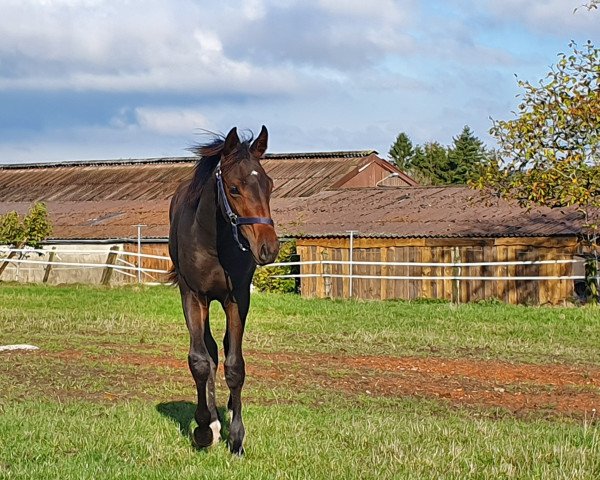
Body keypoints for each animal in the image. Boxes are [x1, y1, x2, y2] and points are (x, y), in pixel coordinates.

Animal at [168, 125, 280, 456]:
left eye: (269, 185)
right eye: (233, 188)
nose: (268, 248)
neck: (213, 240)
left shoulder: (237, 298)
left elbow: (235, 365)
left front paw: (237, 437)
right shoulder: (193, 296)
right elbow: (200, 360)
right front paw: (204, 429)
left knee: (226, 348)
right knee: (210, 350)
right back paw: (214, 423)